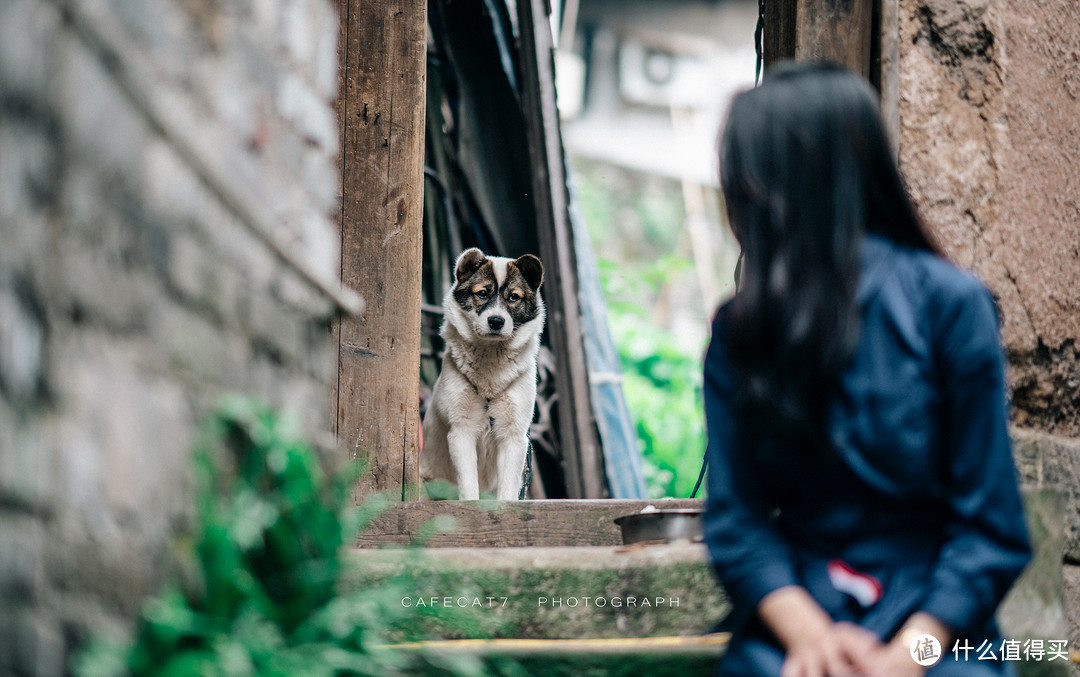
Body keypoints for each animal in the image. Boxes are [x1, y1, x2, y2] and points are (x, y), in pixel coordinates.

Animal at [416, 246, 544, 501]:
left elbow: (507, 492)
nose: (496, 321)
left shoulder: (514, 436)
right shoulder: (461, 432)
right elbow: (469, 488)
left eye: (514, 297)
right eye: (482, 293)